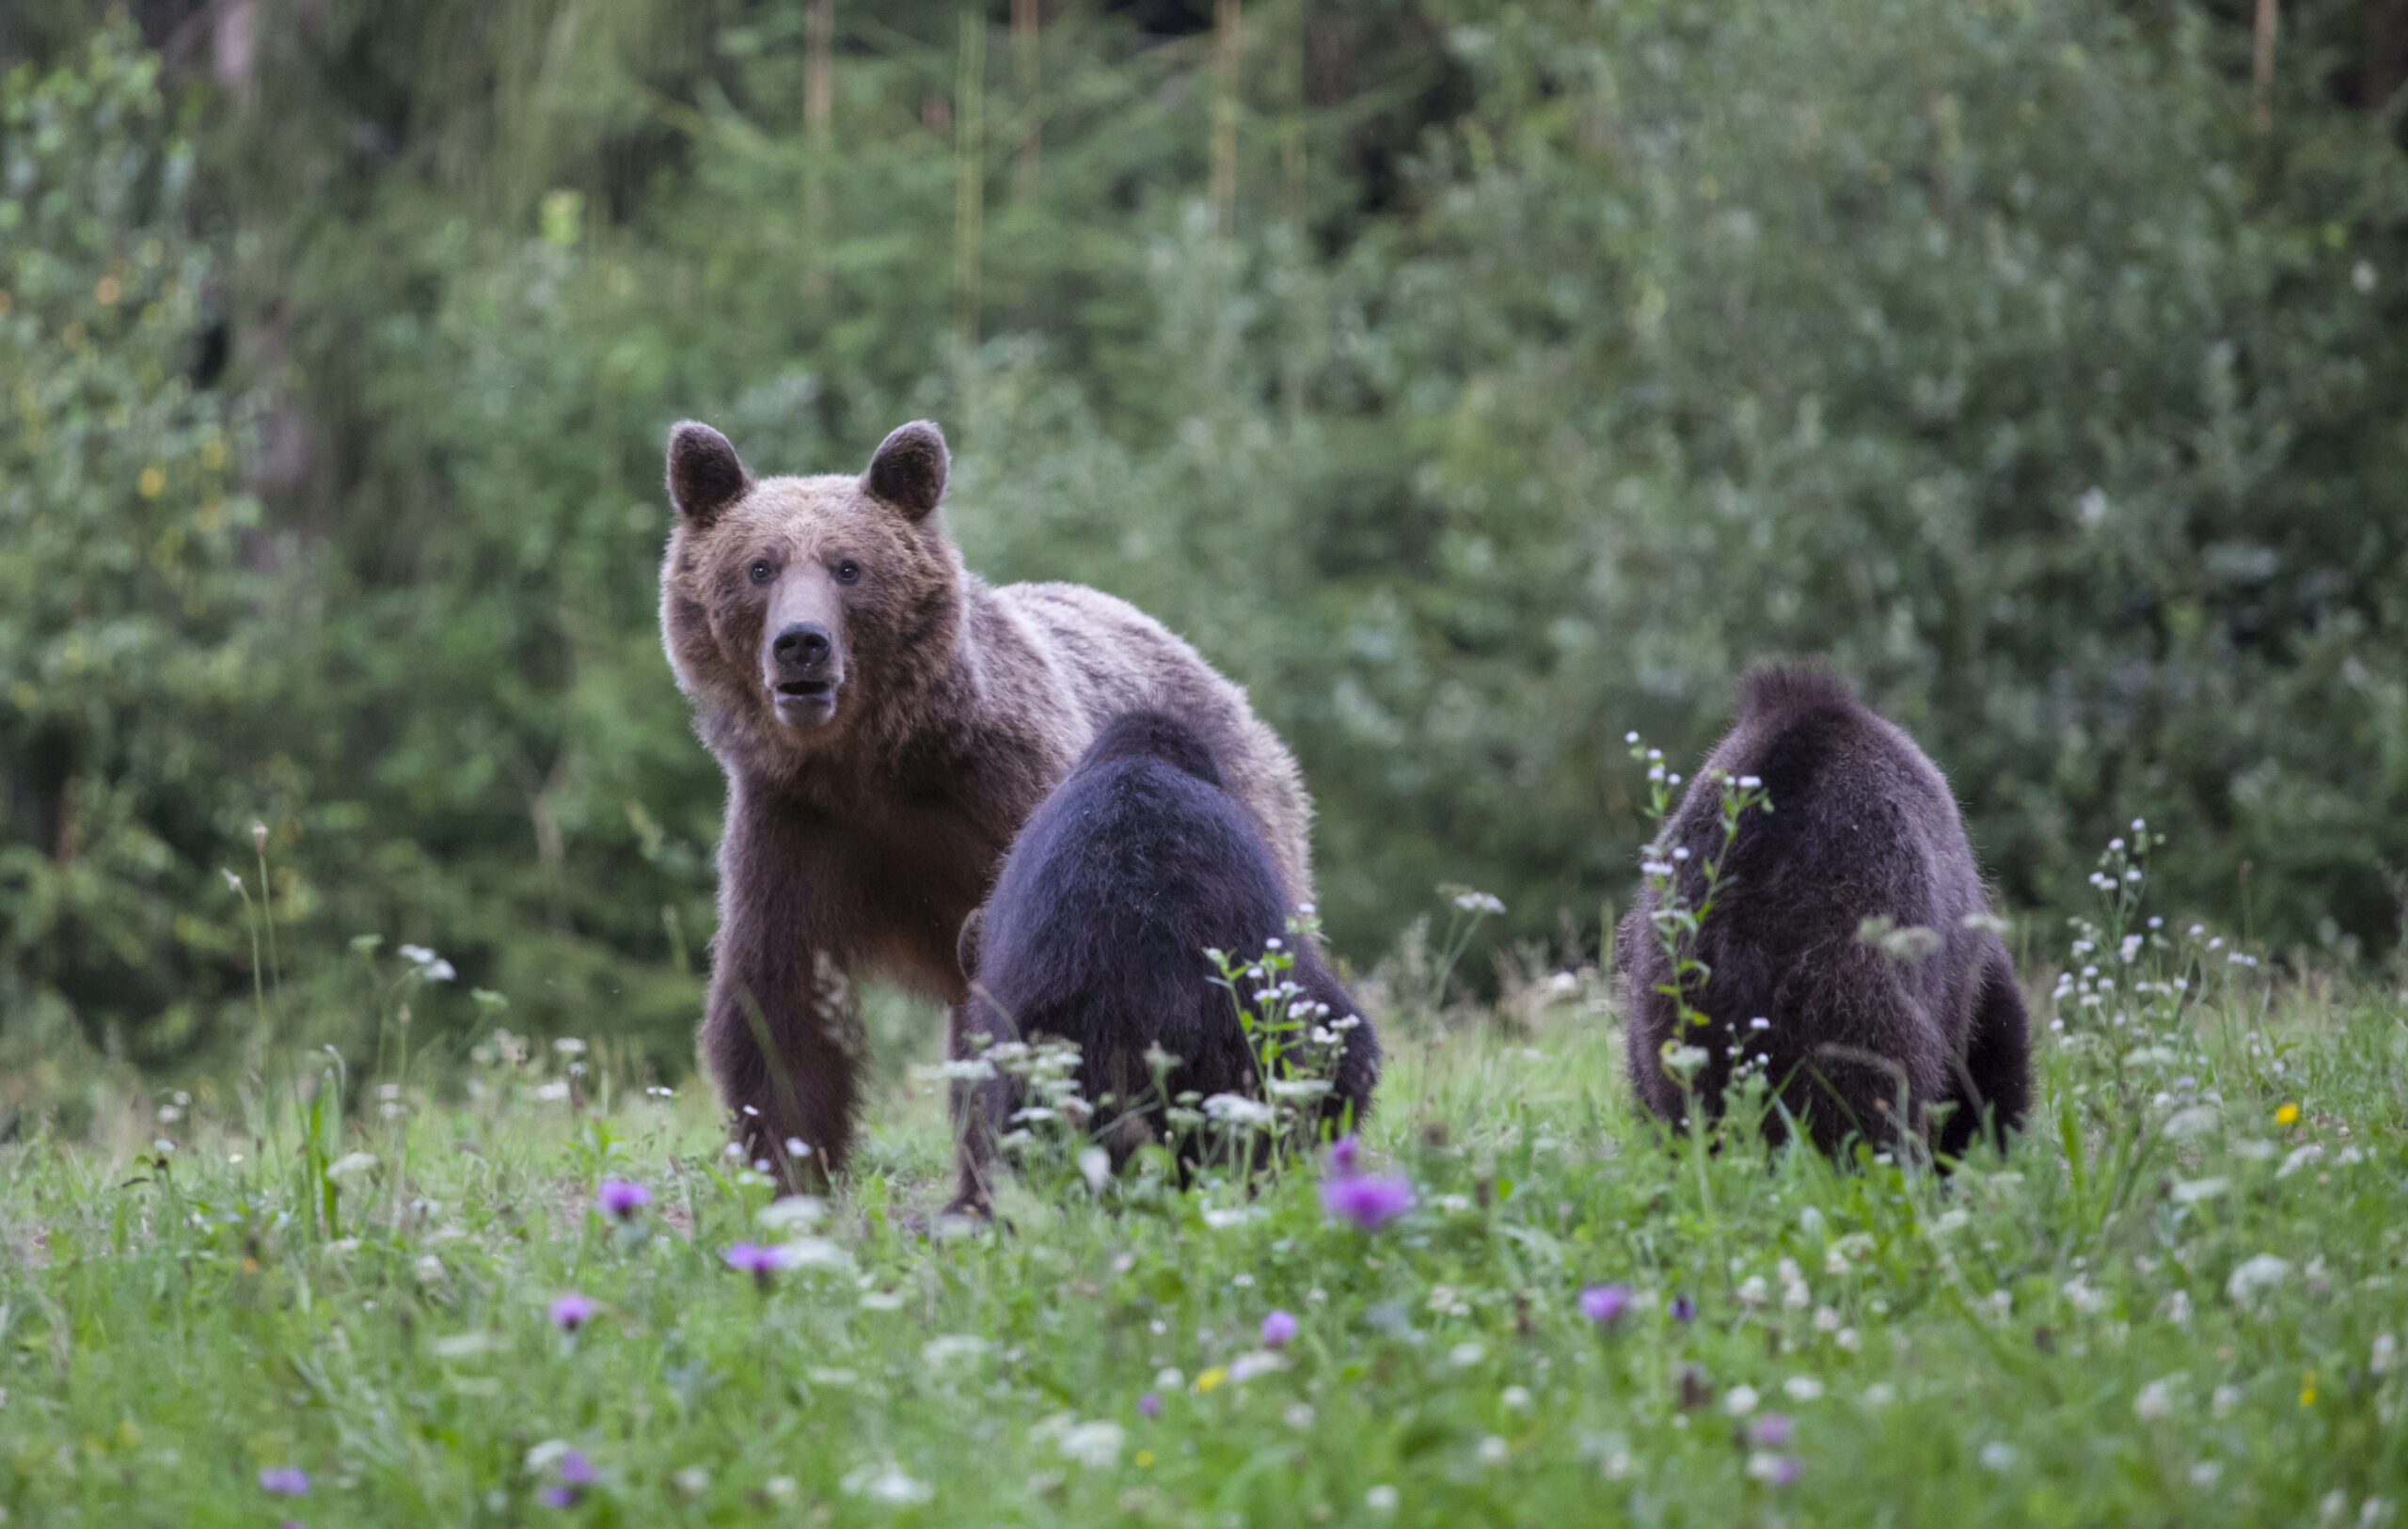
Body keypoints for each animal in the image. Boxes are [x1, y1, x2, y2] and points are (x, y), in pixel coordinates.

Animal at [658, 418, 1314, 1212]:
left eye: (848, 567)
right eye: (760, 566)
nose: (802, 643)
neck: (875, 761)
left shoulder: (1015, 794)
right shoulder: (795, 827)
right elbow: (779, 1009)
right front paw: (791, 1174)